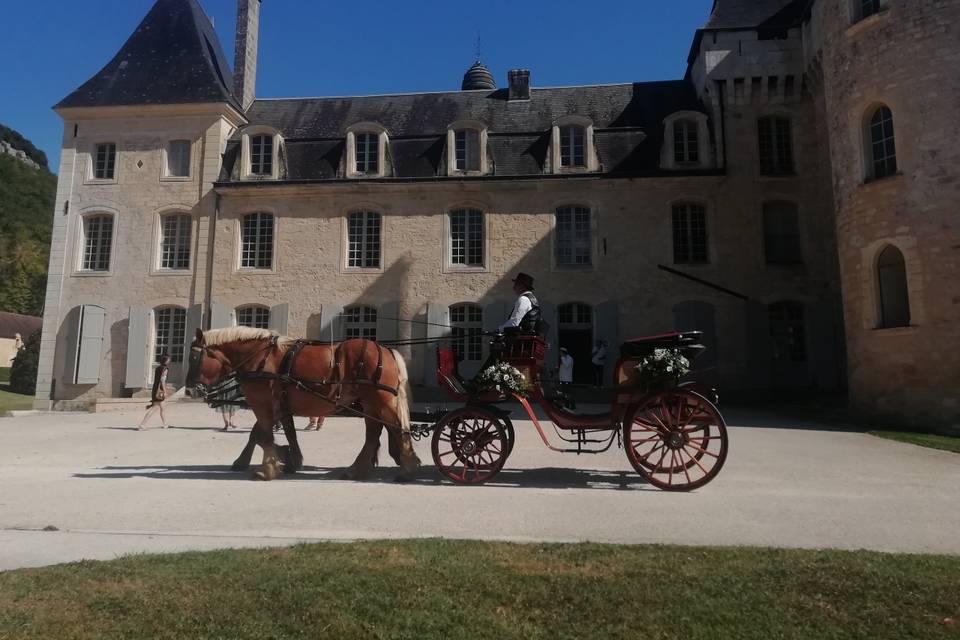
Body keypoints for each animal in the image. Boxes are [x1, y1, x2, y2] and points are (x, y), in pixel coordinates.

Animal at [186, 330, 418, 480]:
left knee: (397, 428)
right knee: (374, 432)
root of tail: (385, 349)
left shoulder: (263, 404)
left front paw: (268, 467)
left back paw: (408, 468)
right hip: (370, 402)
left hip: (379, 400)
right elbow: (276, 434)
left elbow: (263, 436)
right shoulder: (280, 406)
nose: (189, 390)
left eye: (194, 357)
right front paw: (289, 457)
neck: (260, 357)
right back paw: (357, 469)